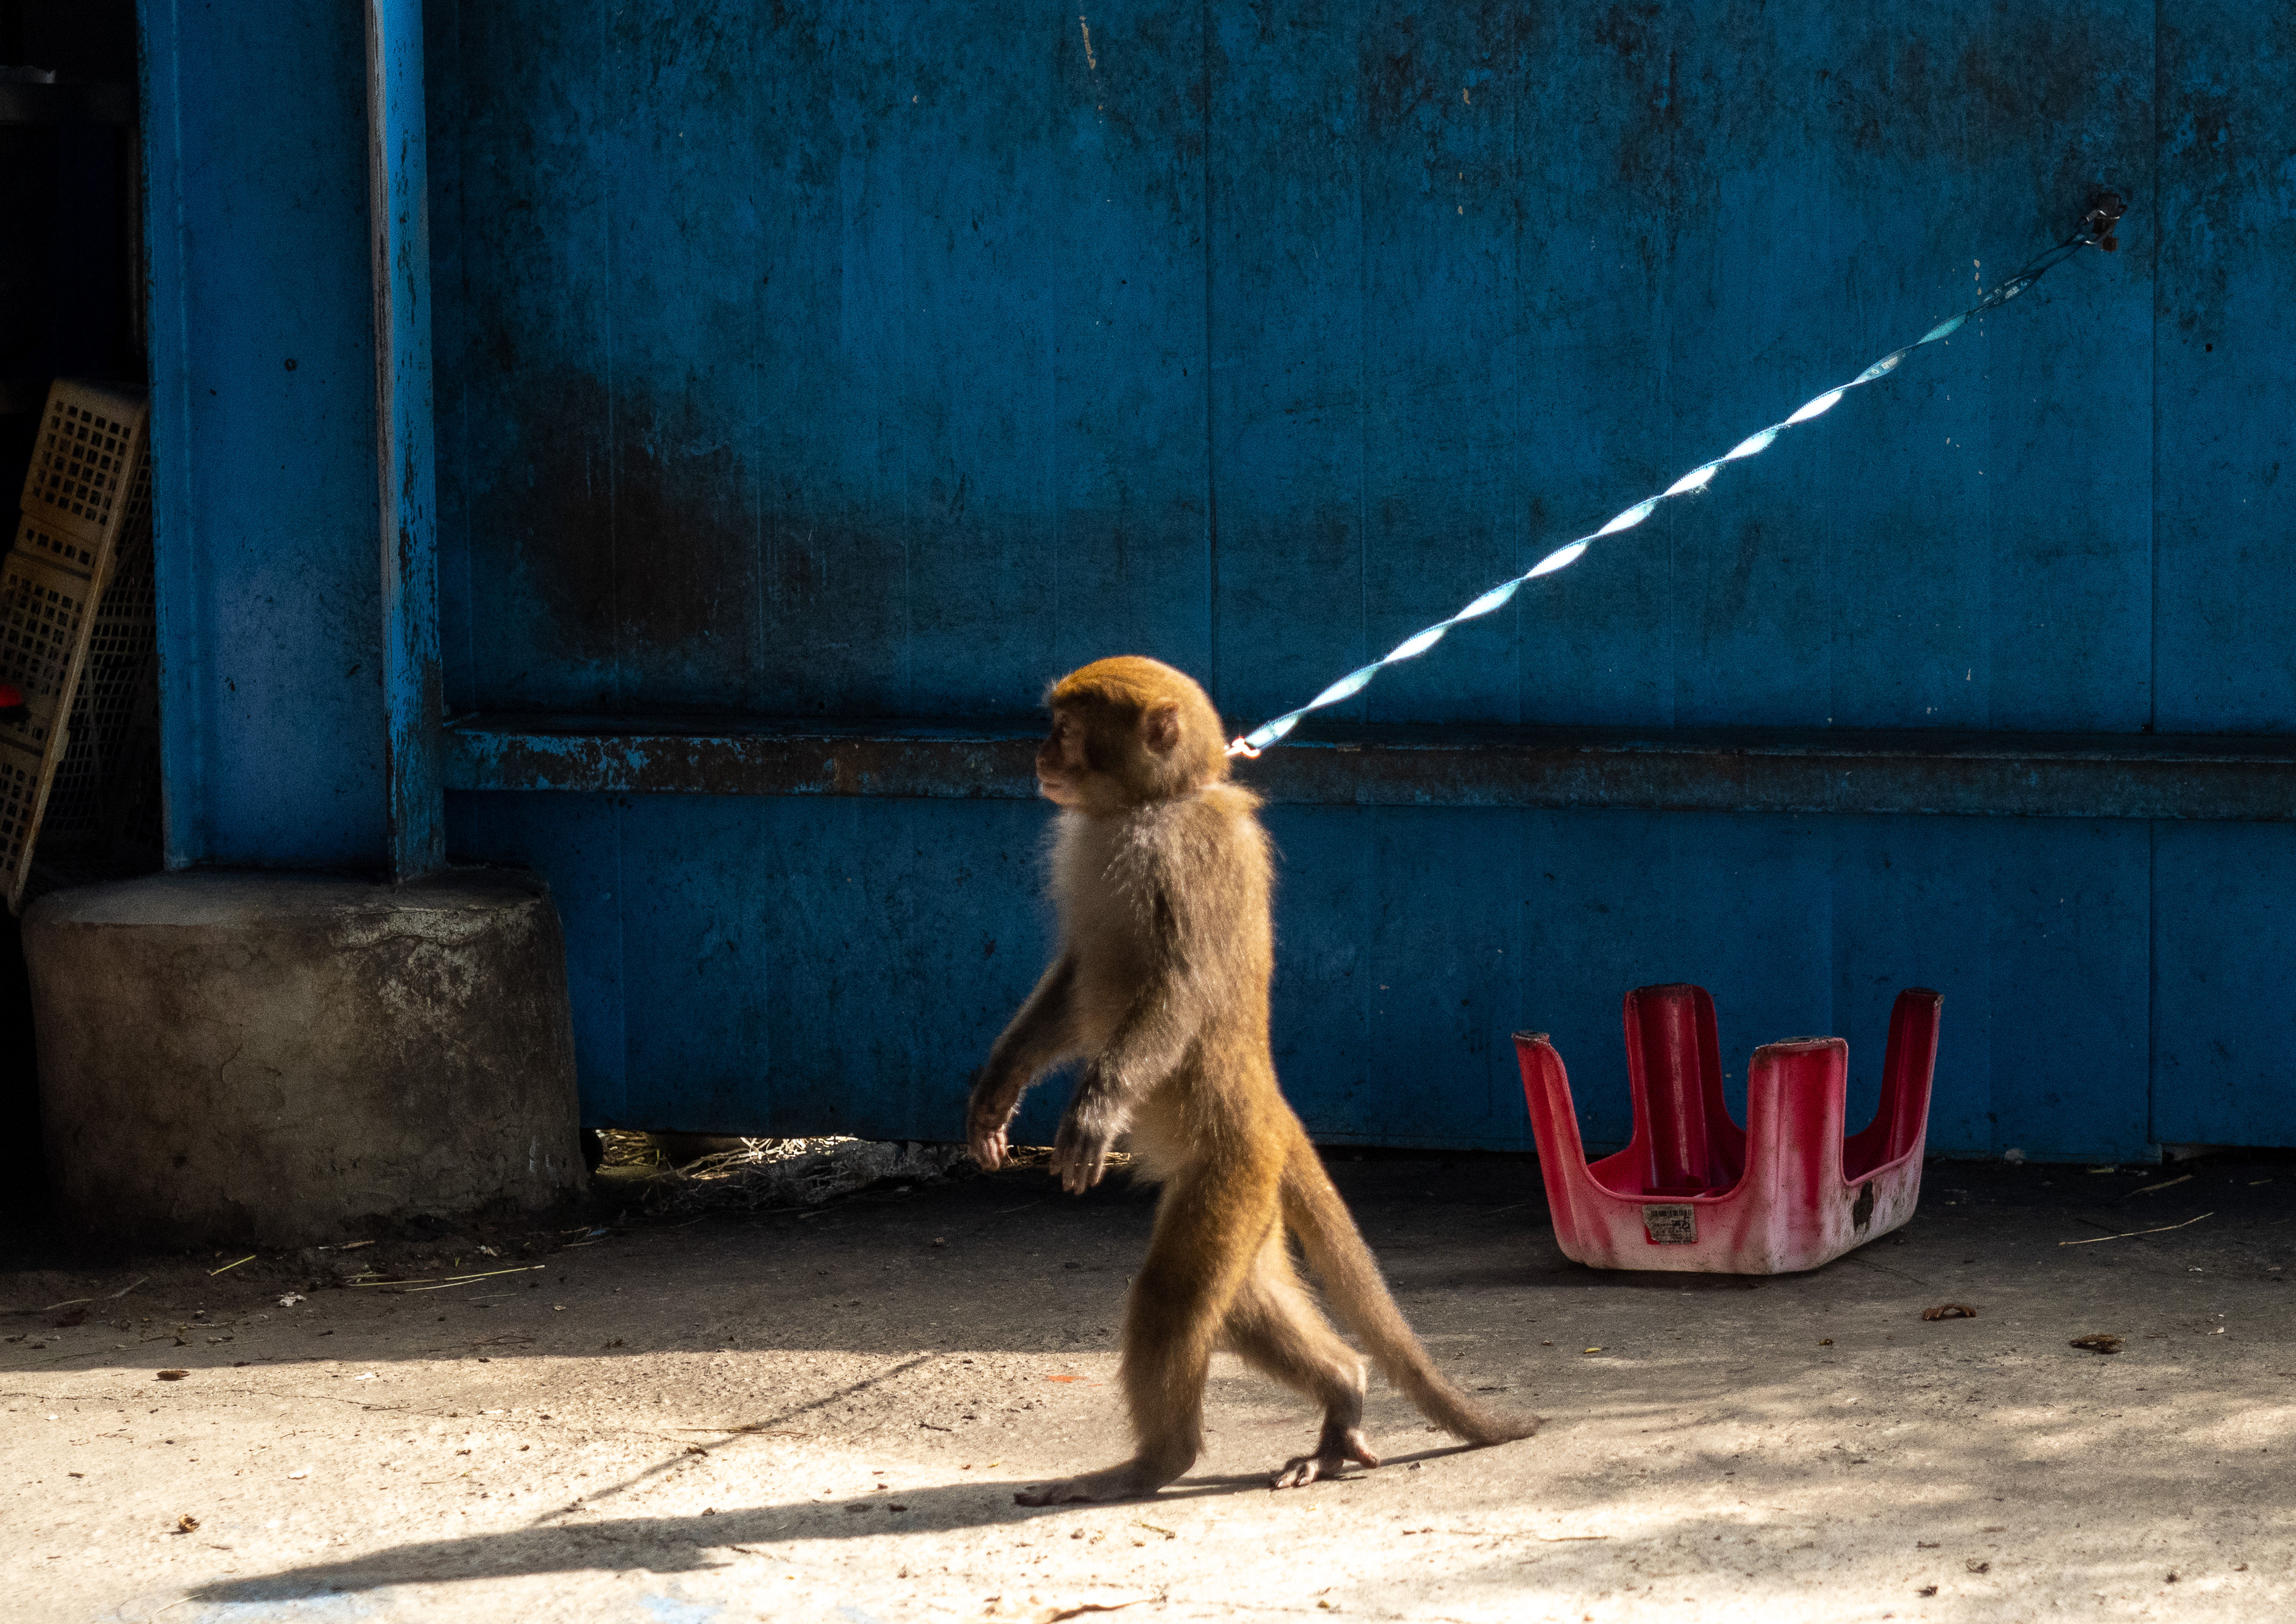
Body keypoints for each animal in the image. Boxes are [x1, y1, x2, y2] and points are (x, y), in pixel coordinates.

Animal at [969, 652, 1543, 1506]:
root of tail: (1271, 1107)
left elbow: (1179, 989)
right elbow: (1073, 991)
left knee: (1175, 1301)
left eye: (1066, 730)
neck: (1154, 804)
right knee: (1240, 1306)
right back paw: (1343, 1391)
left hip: (1232, 1164)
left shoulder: (1173, 858)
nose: (1040, 755)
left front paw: (1096, 1111)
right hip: (1250, 1188)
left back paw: (1157, 1461)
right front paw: (998, 1090)